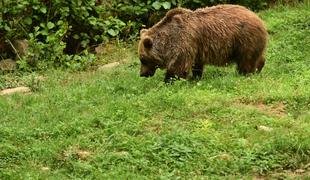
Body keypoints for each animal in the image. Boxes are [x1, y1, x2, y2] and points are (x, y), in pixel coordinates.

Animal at [137, 4, 268, 81]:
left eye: (143, 59)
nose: (142, 74)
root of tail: (258, 19)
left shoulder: (184, 42)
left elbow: (178, 66)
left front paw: (169, 80)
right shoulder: (196, 48)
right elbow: (197, 65)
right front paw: (195, 78)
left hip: (244, 39)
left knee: (246, 60)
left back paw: (244, 74)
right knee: (258, 58)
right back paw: (258, 69)